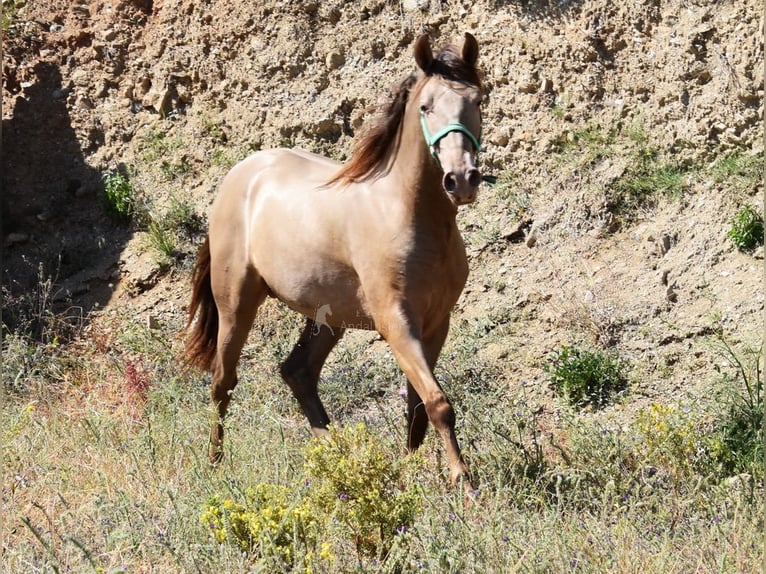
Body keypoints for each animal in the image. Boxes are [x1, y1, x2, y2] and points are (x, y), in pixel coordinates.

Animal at [185, 32, 484, 490]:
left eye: (478, 100)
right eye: (426, 107)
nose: (462, 180)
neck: (409, 216)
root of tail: (242, 173)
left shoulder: (436, 323)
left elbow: (418, 405)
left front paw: (412, 471)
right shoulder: (395, 321)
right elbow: (438, 402)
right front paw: (464, 485)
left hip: (327, 317)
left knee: (297, 372)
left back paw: (338, 456)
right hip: (236, 303)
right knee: (223, 381)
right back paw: (216, 465)